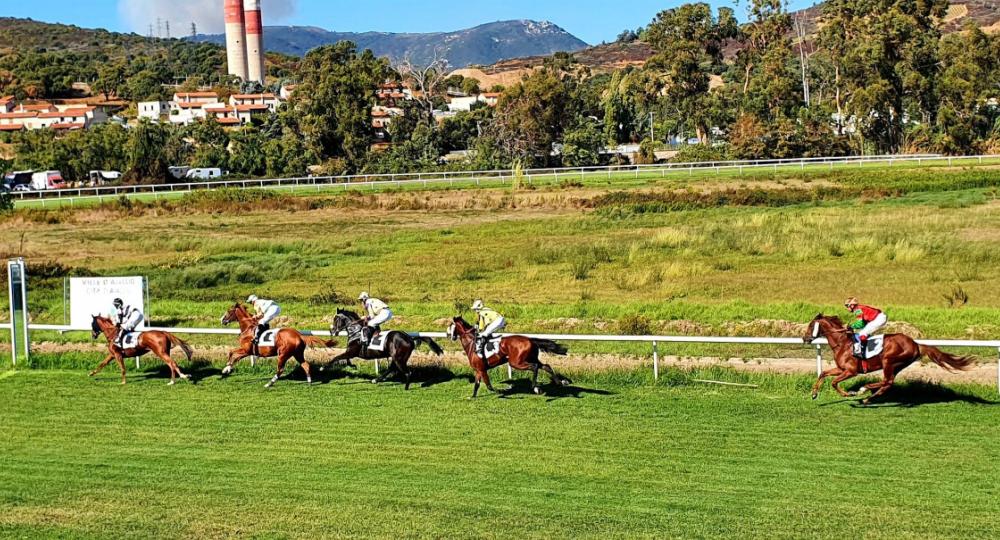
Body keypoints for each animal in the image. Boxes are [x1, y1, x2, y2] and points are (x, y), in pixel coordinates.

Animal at [804, 312, 976, 404]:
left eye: (811, 325)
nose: (805, 339)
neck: (843, 344)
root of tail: (916, 344)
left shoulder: (851, 371)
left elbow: (834, 382)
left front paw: (849, 394)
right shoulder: (841, 368)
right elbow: (823, 373)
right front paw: (814, 393)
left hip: (889, 360)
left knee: (887, 381)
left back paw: (864, 390)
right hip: (897, 365)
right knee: (888, 383)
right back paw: (867, 397)